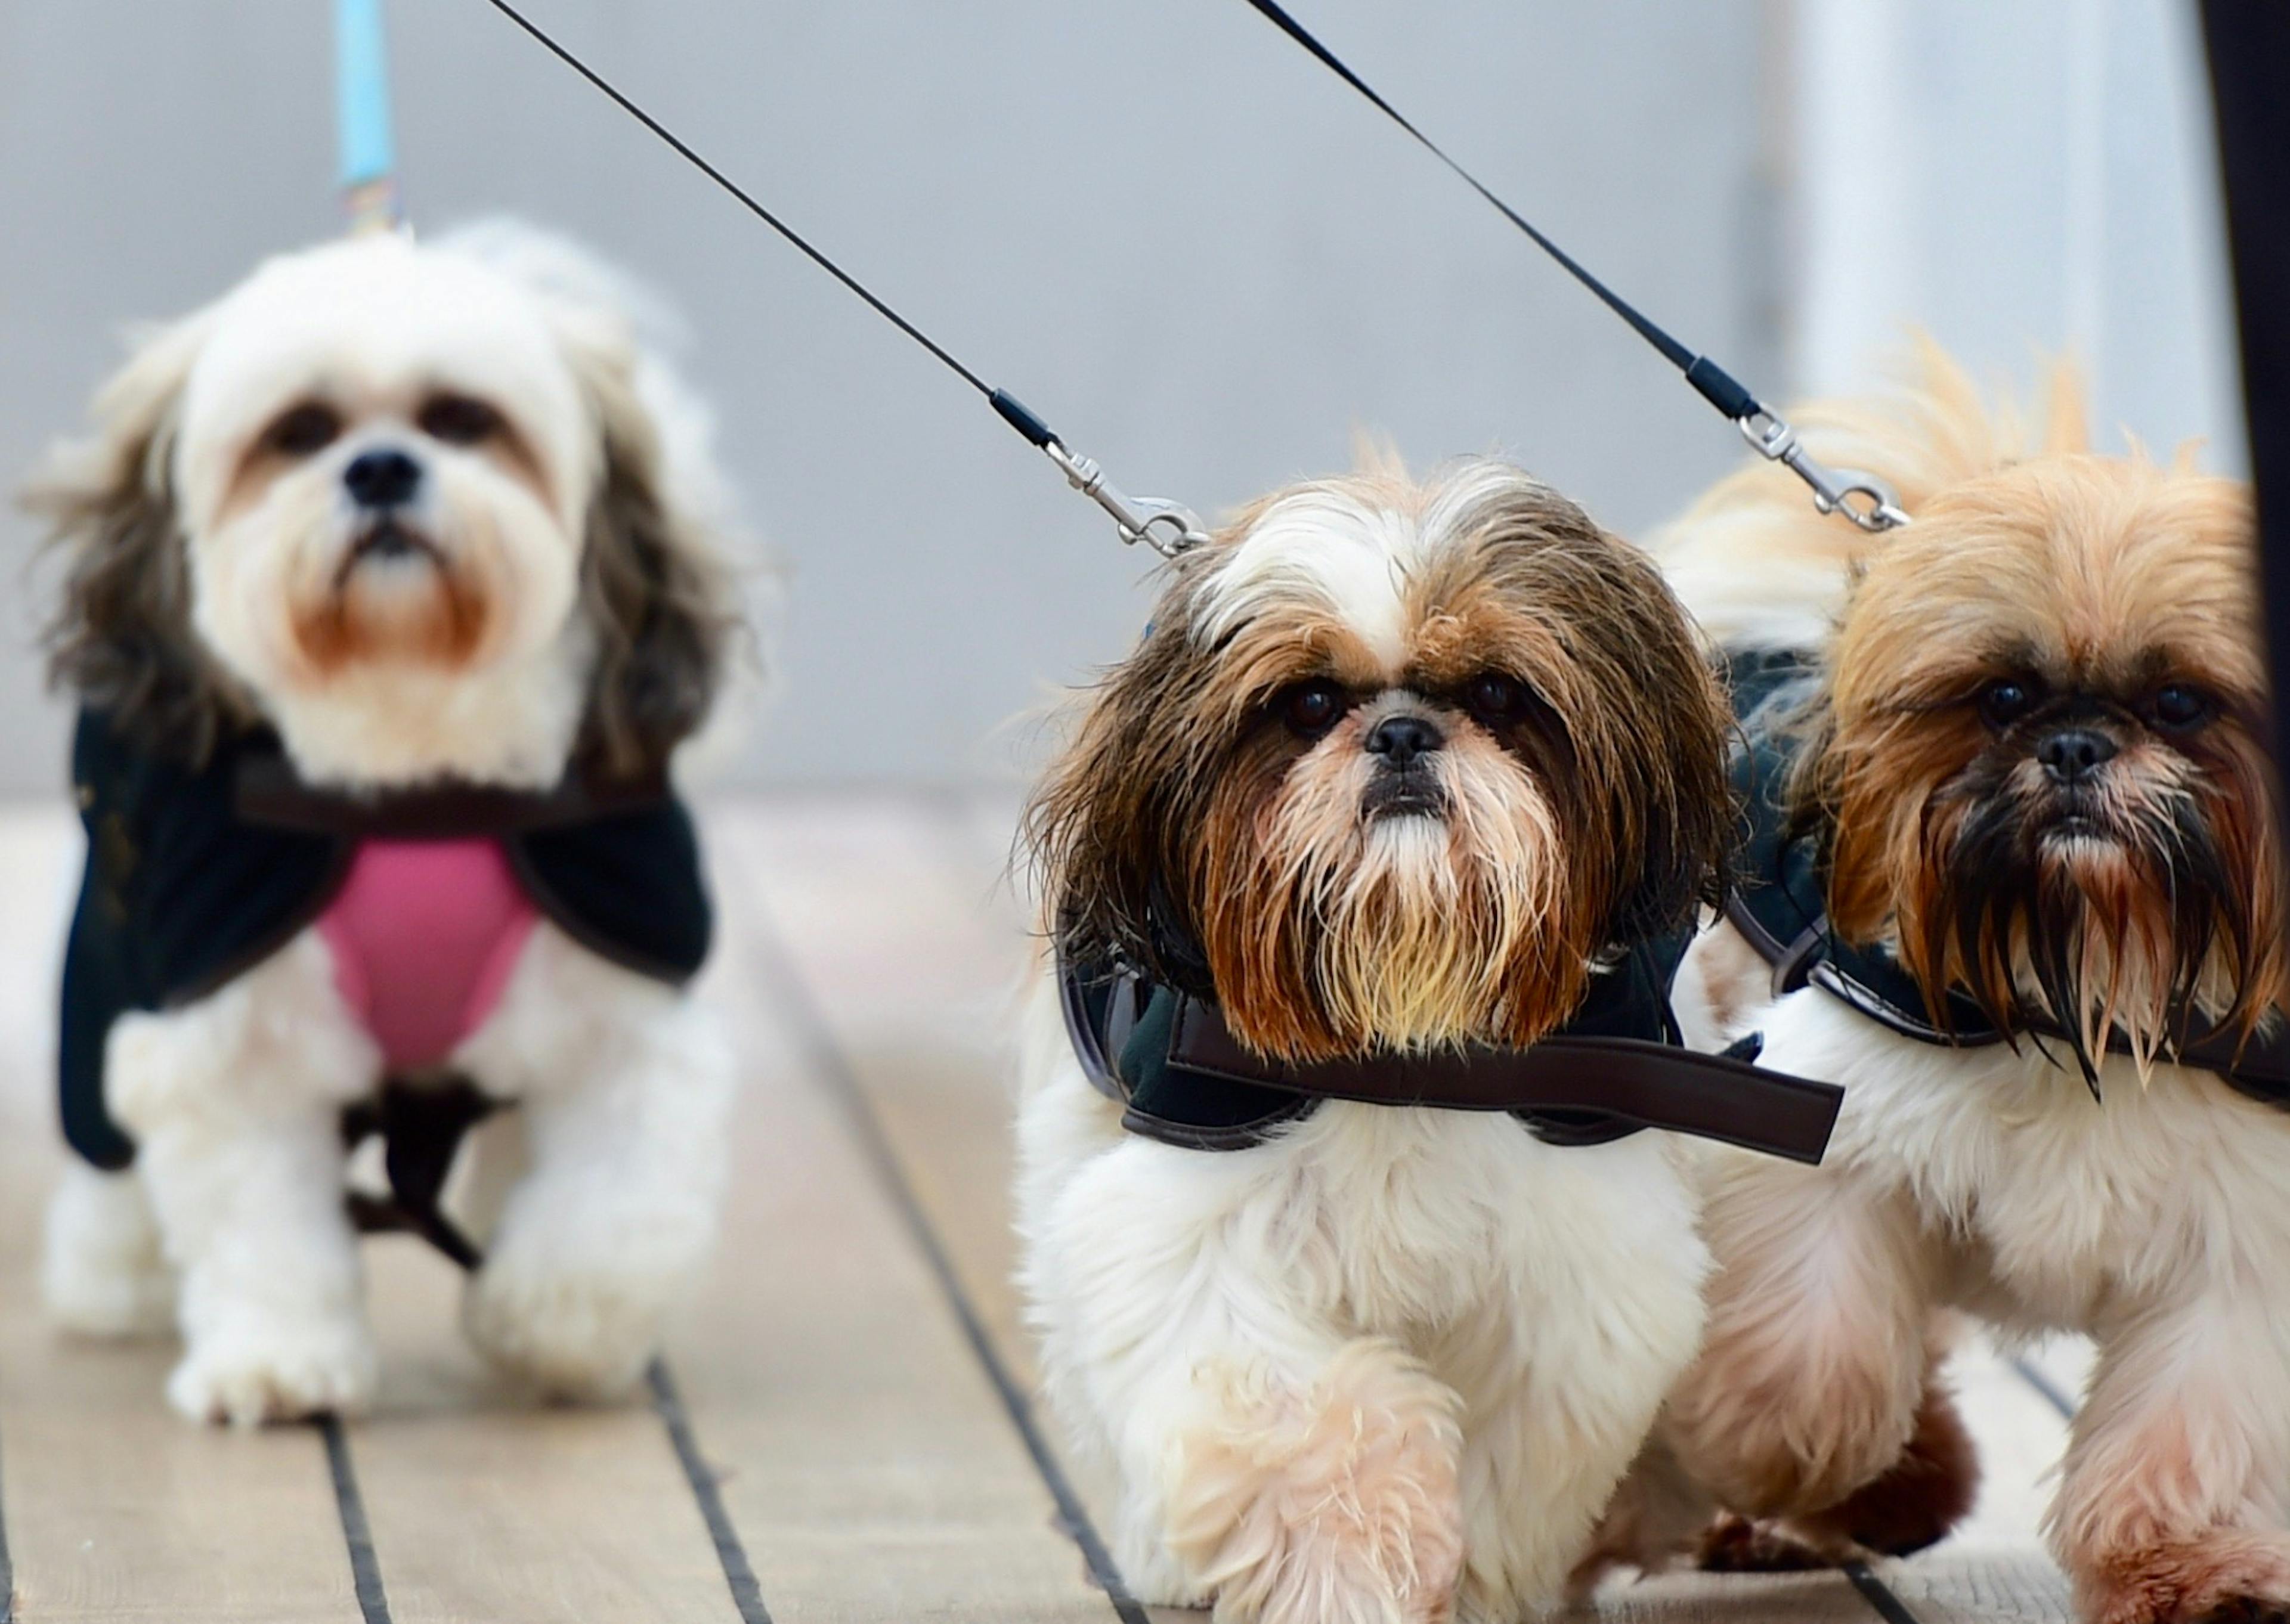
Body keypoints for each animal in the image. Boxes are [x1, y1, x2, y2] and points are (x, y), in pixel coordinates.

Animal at [33, 224, 751, 1420]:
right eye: (299, 433)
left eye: (463, 420)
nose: (379, 468)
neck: (416, 775)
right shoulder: (230, 1019)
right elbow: (257, 1218)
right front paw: (277, 1359)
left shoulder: (625, 1009)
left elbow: (612, 1211)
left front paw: (550, 1322)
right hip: (109, 965)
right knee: (106, 1143)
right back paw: (108, 1278)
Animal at [1021, 455, 1731, 1622]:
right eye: (1308, 704)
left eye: (1497, 694)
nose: (1400, 733)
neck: (1402, 1034)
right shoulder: (1194, 1230)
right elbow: (1297, 1421)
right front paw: (1352, 1563)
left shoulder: (1572, 1268)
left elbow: (1514, 1448)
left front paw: (1472, 1579)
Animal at [1612, 350, 2290, 1622]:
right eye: (2004, 698)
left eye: (2181, 703)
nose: (2076, 745)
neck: (2085, 973)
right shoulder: (1828, 1139)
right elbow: (1802, 1376)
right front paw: (1839, 1474)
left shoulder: (2242, 1249)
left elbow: (2192, 1426)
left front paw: (2191, 1565)